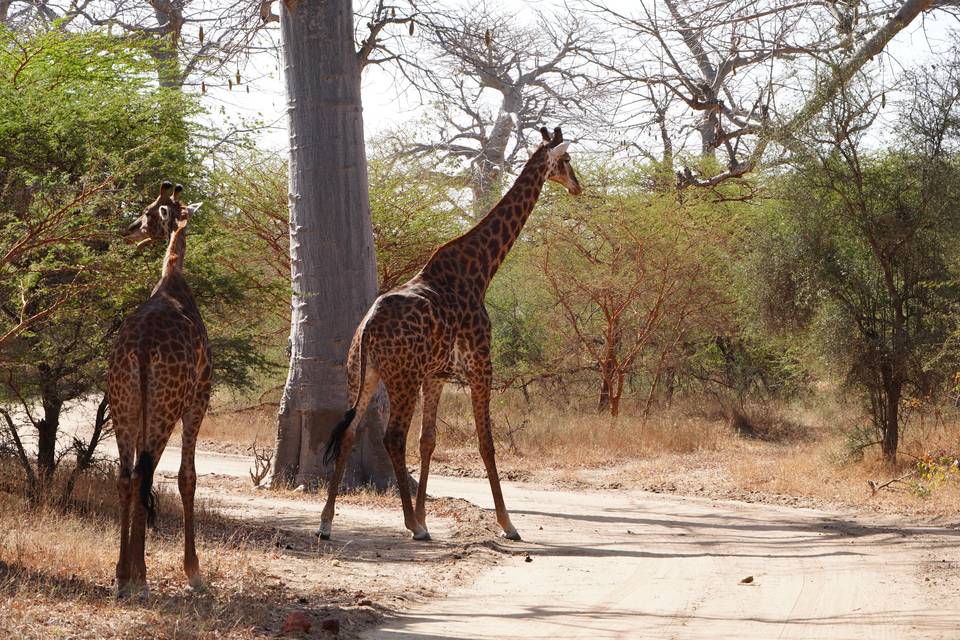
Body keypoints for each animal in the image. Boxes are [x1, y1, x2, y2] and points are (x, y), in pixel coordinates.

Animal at [318, 127, 580, 544]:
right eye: (566, 161)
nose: (577, 186)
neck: (481, 271)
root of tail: (368, 326)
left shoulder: (436, 375)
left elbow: (428, 442)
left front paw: (426, 516)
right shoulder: (480, 366)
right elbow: (486, 442)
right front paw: (507, 524)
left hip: (362, 375)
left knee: (349, 432)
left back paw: (327, 522)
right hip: (402, 378)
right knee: (392, 437)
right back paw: (411, 526)